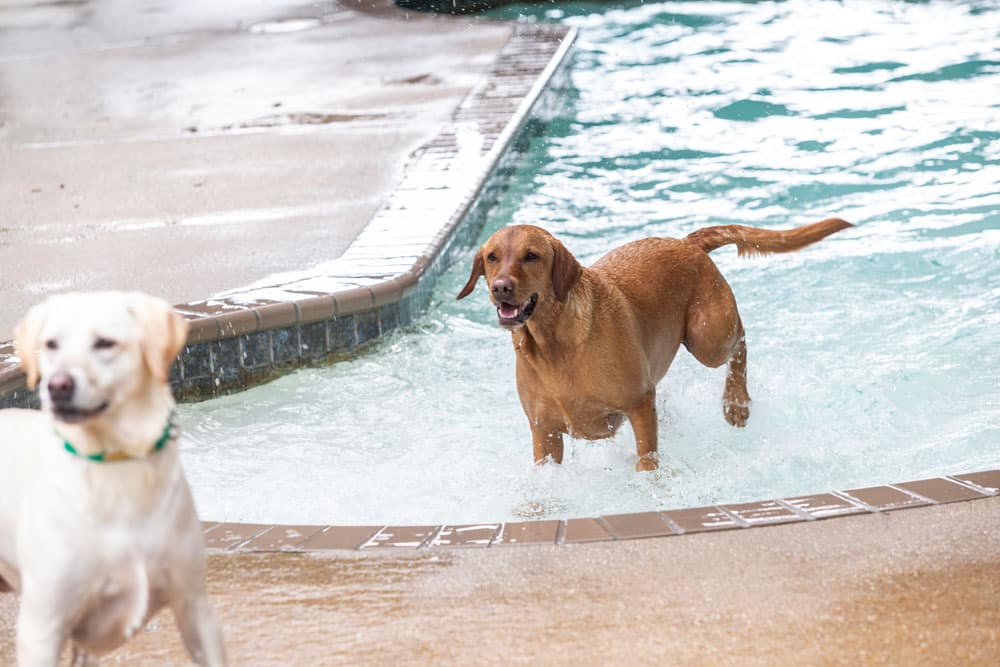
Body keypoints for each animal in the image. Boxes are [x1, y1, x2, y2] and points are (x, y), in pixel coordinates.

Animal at [458, 219, 848, 470]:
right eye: (492, 257)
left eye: (531, 256)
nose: (501, 287)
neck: (553, 344)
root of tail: (687, 242)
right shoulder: (545, 433)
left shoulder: (640, 404)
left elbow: (646, 460)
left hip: (707, 336)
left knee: (740, 342)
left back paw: (736, 402)